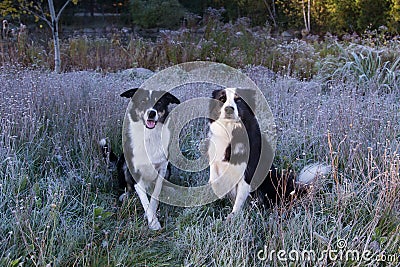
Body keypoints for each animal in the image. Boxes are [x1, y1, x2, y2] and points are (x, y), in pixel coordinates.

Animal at [101, 89, 180, 231]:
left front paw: (152, 214)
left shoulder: (163, 168)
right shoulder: (135, 173)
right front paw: (153, 222)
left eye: (159, 102)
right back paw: (125, 196)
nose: (151, 113)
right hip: (123, 163)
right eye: (143, 101)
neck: (149, 136)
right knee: (127, 187)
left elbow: (155, 195)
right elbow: (144, 198)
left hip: (169, 169)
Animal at [208, 88, 330, 218]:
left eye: (239, 100)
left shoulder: (248, 172)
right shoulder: (216, 161)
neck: (230, 132)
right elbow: (214, 178)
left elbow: (239, 199)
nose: (229, 109)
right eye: (221, 99)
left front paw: (232, 217)